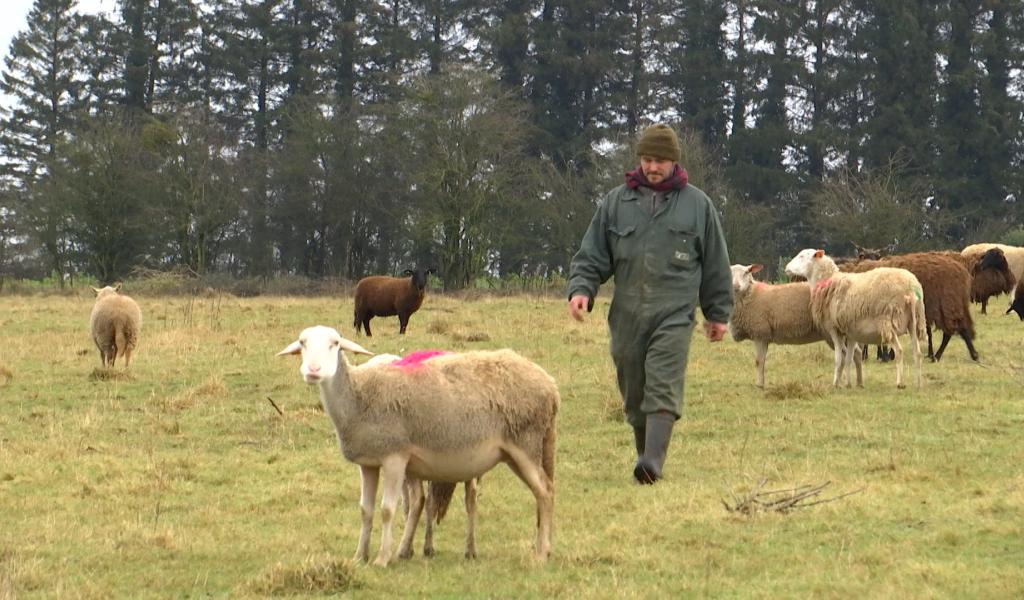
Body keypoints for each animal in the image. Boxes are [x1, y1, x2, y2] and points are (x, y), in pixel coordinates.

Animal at [276, 327, 557, 565]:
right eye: (302, 343)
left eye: (334, 344)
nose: (313, 370)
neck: (358, 396)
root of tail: (550, 385)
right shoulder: (368, 464)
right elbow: (366, 510)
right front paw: (359, 557)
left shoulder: (394, 457)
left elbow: (387, 510)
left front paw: (382, 558)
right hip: (514, 452)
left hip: (526, 443)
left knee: (545, 491)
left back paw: (541, 553)